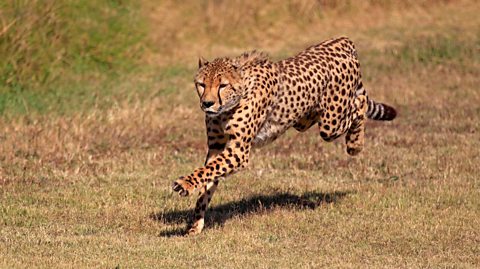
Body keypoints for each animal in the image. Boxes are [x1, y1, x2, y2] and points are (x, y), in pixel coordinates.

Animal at [171, 36, 396, 233]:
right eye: (201, 84)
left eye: (223, 85)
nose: (207, 103)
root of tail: (342, 40)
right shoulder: (216, 146)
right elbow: (207, 180)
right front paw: (195, 225)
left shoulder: (239, 151)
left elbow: (207, 171)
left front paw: (184, 184)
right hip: (304, 120)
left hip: (331, 123)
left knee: (360, 104)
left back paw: (355, 144)